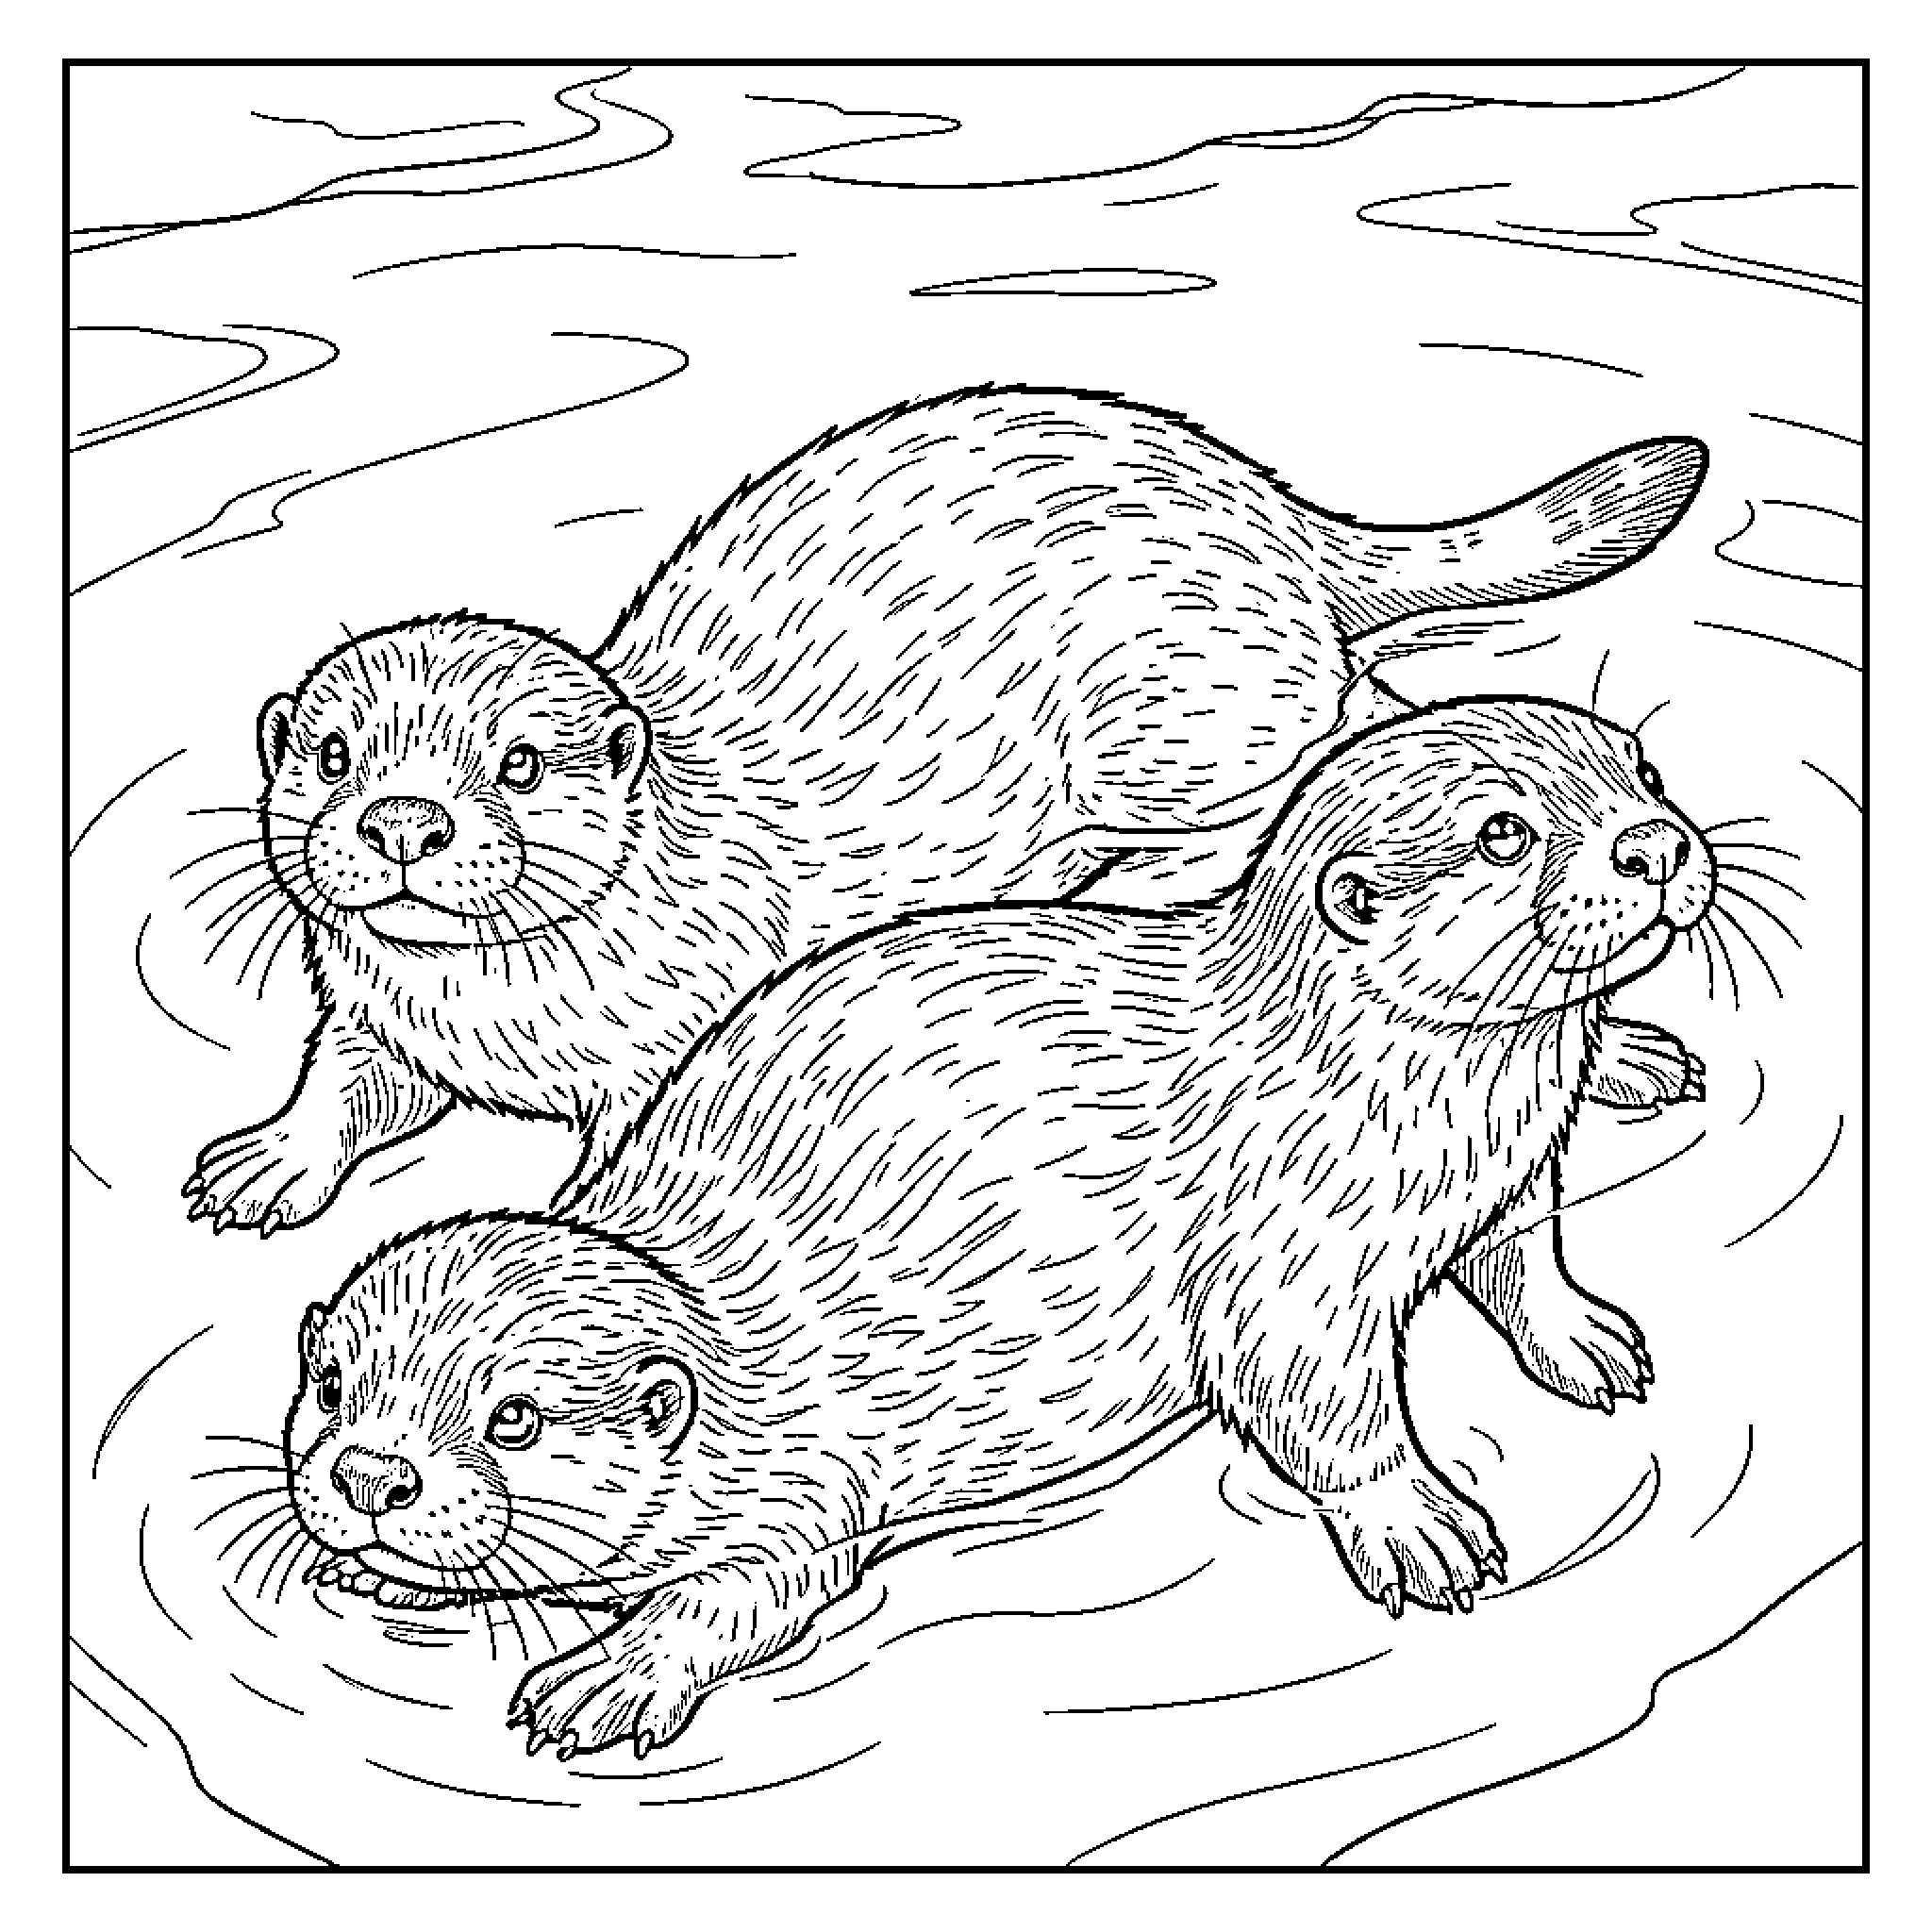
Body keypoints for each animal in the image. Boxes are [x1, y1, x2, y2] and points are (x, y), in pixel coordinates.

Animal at [184, 385, 1707, 1234]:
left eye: (517, 764)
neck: (504, 1020)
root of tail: (1271, 514)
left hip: (1198, 724)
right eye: (332, 754)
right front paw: (263, 1163)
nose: (403, 823)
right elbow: (341, 1083)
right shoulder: (374, 1011)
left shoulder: (677, 1038)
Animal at [283, 697, 1717, 1759]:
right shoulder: (1290, 1266)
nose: (370, 1476)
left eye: (1642, 774)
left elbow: (1515, 1268)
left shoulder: (1493, 1180)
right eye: (1503, 833)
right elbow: (1316, 1395)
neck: (1383, 1097)